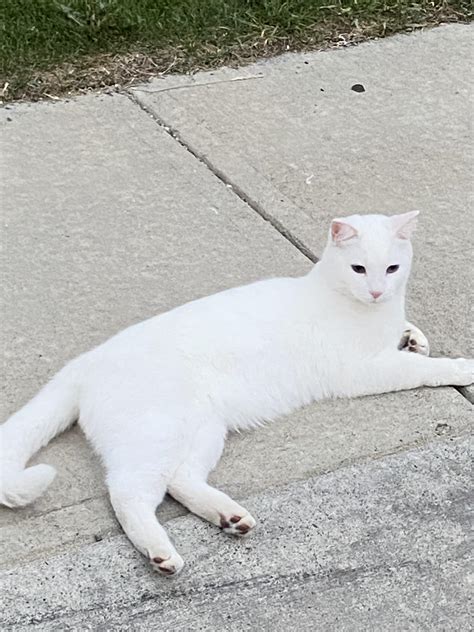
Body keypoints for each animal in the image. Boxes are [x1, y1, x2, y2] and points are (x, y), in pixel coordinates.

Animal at [1, 211, 472, 572]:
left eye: (392, 269)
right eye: (359, 269)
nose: (376, 291)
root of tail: (84, 362)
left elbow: (412, 339)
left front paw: (413, 336)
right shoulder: (364, 370)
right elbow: (422, 369)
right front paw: (460, 366)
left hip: (203, 430)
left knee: (179, 481)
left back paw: (229, 517)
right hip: (158, 434)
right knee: (128, 491)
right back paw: (161, 554)